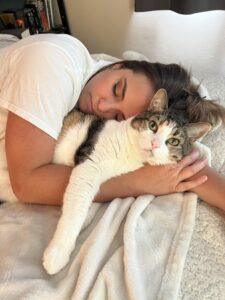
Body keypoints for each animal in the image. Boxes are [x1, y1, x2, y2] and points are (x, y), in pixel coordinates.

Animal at [41, 89, 211, 274]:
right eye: (153, 125)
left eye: (173, 141)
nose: (154, 144)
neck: (130, 153)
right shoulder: (88, 167)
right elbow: (76, 209)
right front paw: (57, 254)